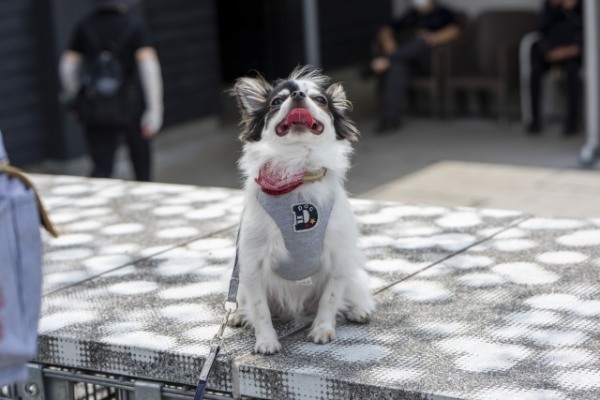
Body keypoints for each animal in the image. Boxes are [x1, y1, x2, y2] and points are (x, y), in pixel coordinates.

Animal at [229, 66, 372, 356]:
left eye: (320, 100)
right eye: (276, 101)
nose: (297, 95)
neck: (298, 173)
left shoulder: (338, 257)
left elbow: (330, 297)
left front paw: (322, 330)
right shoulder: (251, 263)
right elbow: (259, 307)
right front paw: (266, 341)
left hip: (350, 270)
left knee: (353, 288)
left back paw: (358, 309)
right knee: (244, 299)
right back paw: (238, 314)